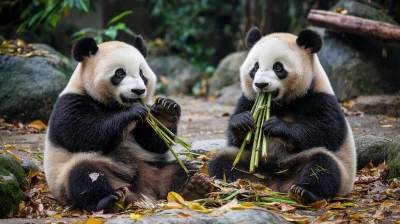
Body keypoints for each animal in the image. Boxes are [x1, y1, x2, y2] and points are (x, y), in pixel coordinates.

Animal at [43, 36, 202, 213]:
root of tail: (143, 190)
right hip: (69, 173)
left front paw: (165, 111)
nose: (138, 91)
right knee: (84, 176)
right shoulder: (70, 103)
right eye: (120, 73)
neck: (112, 105)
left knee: (182, 171)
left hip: (155, 166)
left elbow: (153, 143)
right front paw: (133, 111)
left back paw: (195, 186)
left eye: (141, 73)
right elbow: (85, 134)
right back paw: (111, 200)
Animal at [208, 28, 354, 205]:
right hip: (249, 161)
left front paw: (276, 126)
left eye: (278, 67)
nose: (261, 85)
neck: (280, 103)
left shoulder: (319, 97)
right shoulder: (249, 99)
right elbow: (238, 139)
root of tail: (274, 183)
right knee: (222, 162)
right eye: (255, 67)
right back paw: (238, 184)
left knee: (323, 166)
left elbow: (328, 131)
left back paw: (303, 192)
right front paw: (242, 122)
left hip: (330, 168)